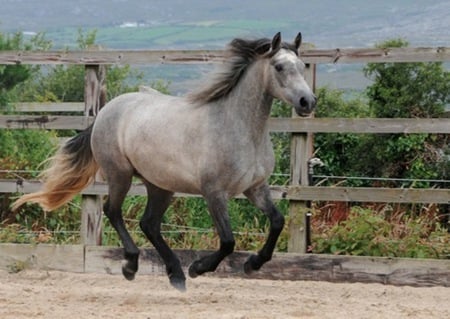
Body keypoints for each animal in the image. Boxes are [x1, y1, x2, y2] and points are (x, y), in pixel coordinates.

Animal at [12, 31, 314, 290]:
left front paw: (253, 263)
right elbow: (228, 241)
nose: (307, 102)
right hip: (120, 174)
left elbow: (277, 221)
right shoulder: (214, 192)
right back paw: (134, 266)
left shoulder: (255, 187)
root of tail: (107, 110)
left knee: (149, 224)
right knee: (113, 211)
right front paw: (198, 268)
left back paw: (175, 275)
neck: (238, 128)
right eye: (279, 67)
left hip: (160, 185)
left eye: (301, 66)